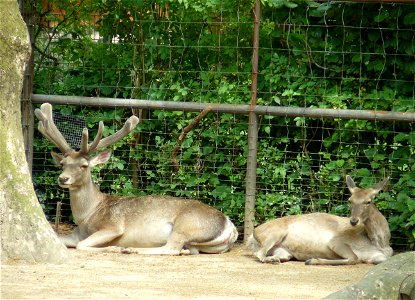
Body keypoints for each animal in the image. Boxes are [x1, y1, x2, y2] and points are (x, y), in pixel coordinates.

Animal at [35, 103, 239, 255]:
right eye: (63, 163)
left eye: (84, 165)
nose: (63, 179)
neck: (87, 216)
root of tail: (231, 227)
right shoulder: (76, 233)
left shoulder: (113, 226)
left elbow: (81, 245)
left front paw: (114, 248)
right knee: (186, 250)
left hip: (187, 224)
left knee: (171, 248)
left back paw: (131, 249)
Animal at [249, 176, 394, 264]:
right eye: (350, 200)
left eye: (368, 201)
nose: (353, 221)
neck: (380, 243)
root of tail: (252, 235)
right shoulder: (336, 241)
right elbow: (354, 258)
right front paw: (312, 260)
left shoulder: (381, 257)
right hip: (274, 233)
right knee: (259, 253)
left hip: (283, 250)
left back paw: (274, 259)